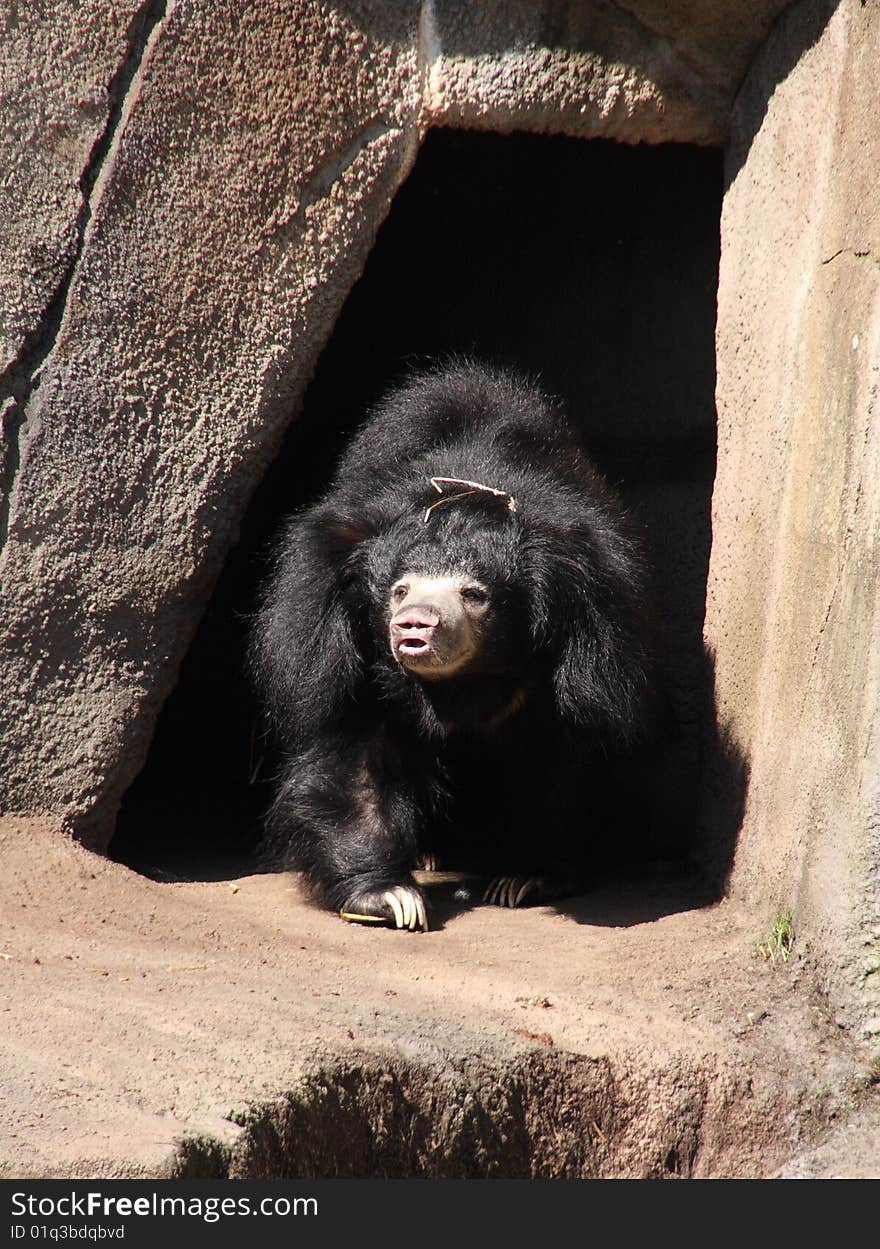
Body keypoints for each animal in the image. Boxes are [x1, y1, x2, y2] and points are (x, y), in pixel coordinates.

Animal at [250, 362, 649, 929]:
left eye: (473, 595)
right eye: (399, 590)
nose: (415, 626)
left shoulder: (584, 645)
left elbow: (559, 754)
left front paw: (525, 877)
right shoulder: (333, 636)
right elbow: (353, 748)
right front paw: (388, 897)